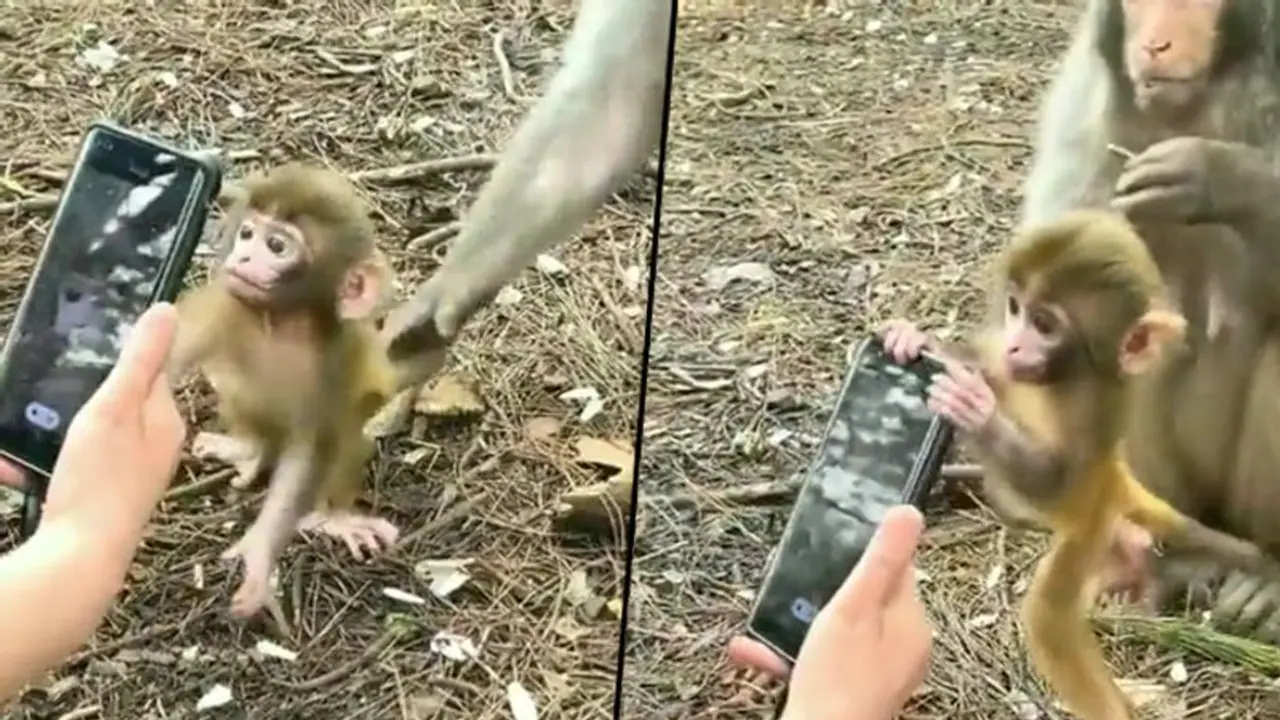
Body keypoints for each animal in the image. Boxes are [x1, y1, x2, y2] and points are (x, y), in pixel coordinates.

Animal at [167, 163, 402, 617]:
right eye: (247, 234)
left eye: (276, 246)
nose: (242, 256)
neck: (281, 323)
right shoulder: (223, 303)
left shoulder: (335, 359)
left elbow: (310, 450)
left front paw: (259, 554)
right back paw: (249, 449)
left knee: (348, 437)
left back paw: (332, 517)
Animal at [880, 211, 1280, 720]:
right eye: (1015, 309)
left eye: (1044, 323)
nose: (1015, 345)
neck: (1060, 378)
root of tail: (1113, 481)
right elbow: (985, 365)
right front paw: (915, 340)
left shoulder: (1094, 410)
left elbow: (1055, 480)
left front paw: (978, 411)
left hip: (1088, 522)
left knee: (1050, 617)